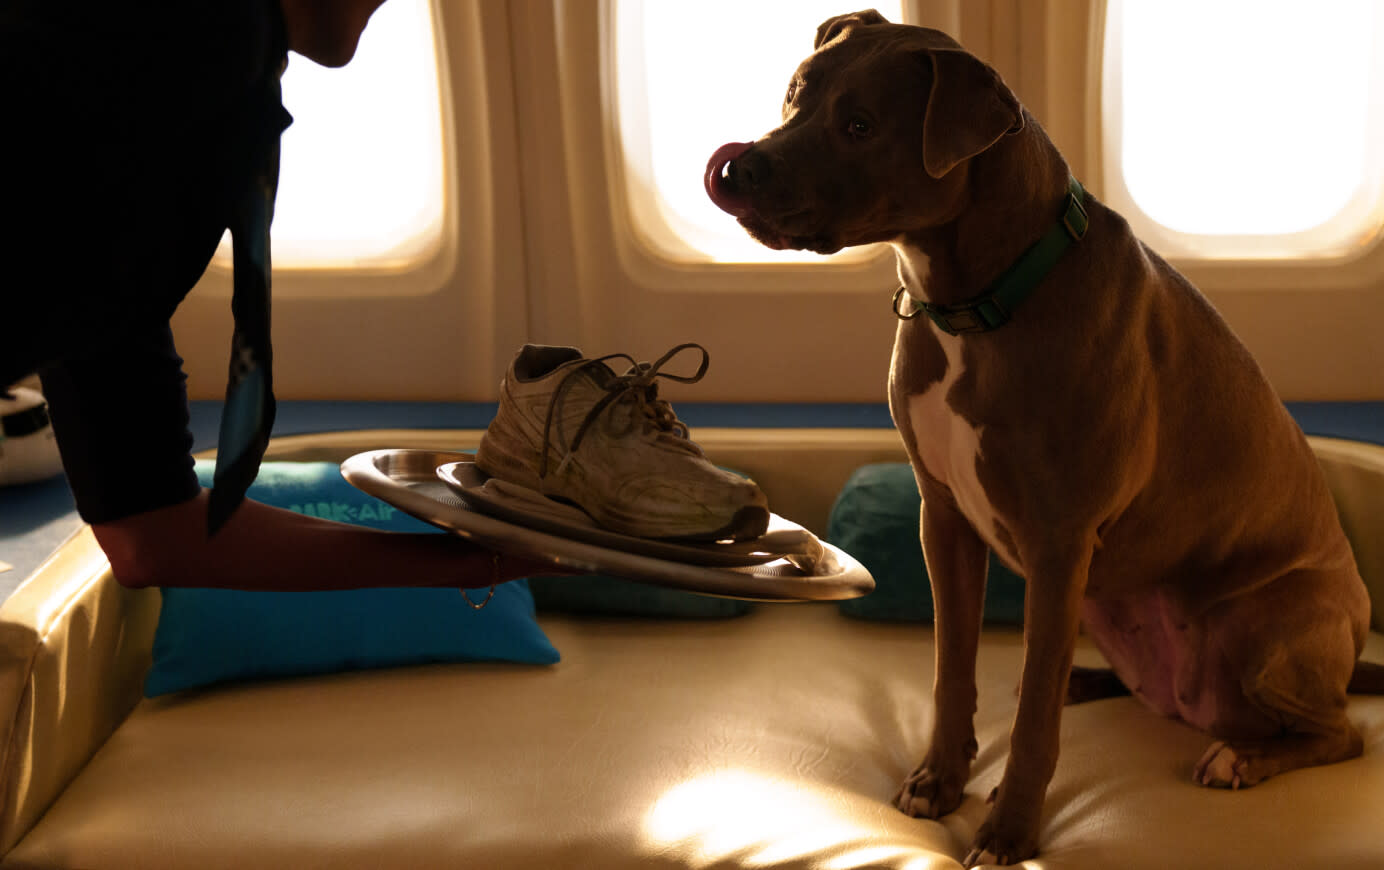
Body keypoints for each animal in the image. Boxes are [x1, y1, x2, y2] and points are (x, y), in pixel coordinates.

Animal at [708, 10, 1378, 863]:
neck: (977, 302)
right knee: (1100, 678)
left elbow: (1029, 722)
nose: (740, 167)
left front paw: (1009, 830)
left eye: (859, 126)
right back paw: (1091, 682)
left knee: (1340, 733)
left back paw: (1242, 755)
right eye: (796, 95)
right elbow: (952, 667)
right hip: (1102, 597)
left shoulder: (1059, 542)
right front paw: (940, 778)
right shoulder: (945, 520)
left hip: (1264, 627)